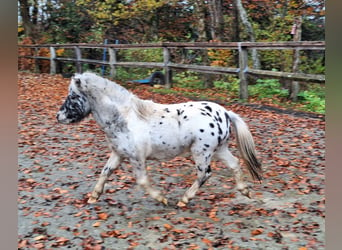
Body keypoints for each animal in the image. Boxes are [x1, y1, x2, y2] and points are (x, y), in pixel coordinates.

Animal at [56, 72, 262, 207]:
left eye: (73, 96)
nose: (59, 117)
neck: (125, 118)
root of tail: (225, 113)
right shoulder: (118, 153)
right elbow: (105, 172)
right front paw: (94, 196)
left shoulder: (136, 158)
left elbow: (142, 181)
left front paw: (161, 198)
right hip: (219, 149)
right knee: (234, 164)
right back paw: (244, 190)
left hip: (201, 152)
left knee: (204, 174)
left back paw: (184, 200)